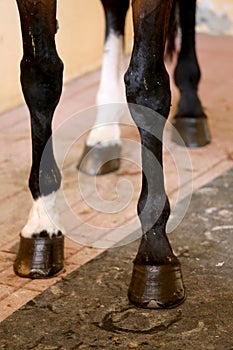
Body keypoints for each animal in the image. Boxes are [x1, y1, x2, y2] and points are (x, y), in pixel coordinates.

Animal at [12, 0, 210, 308]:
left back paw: (191, 108)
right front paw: (42, 224)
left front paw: (155, 255)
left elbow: (146, 85)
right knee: (114, 10)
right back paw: (103, 135)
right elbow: (40, 77)